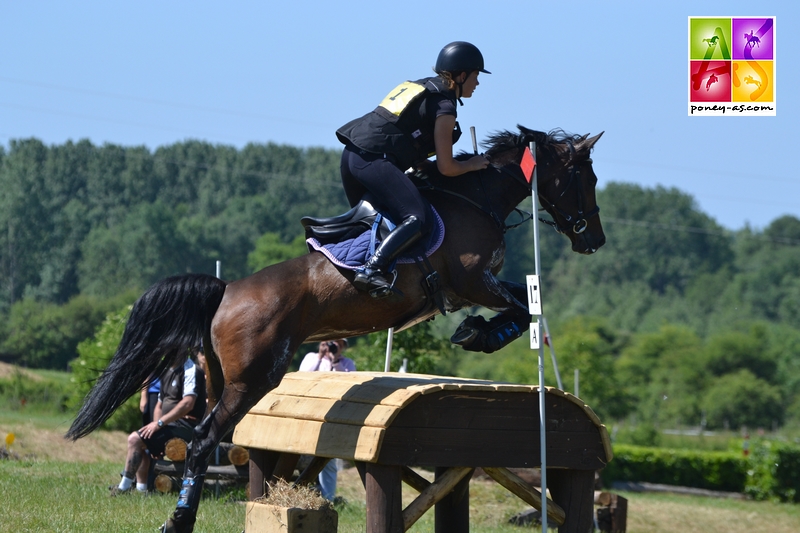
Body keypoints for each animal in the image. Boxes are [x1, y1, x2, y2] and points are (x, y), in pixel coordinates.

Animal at [69, 125, 604, 532]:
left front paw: (479, 332)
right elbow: (520, 305)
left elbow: (523, 300)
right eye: (586, 178)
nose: (593, 240)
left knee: (195, 433)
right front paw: (478, 333)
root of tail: (226, 290)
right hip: (253, 379)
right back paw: (179, 520)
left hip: (223, 379)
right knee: (202, 441)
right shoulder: (472, 281)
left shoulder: (478, 285)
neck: (473, 199)